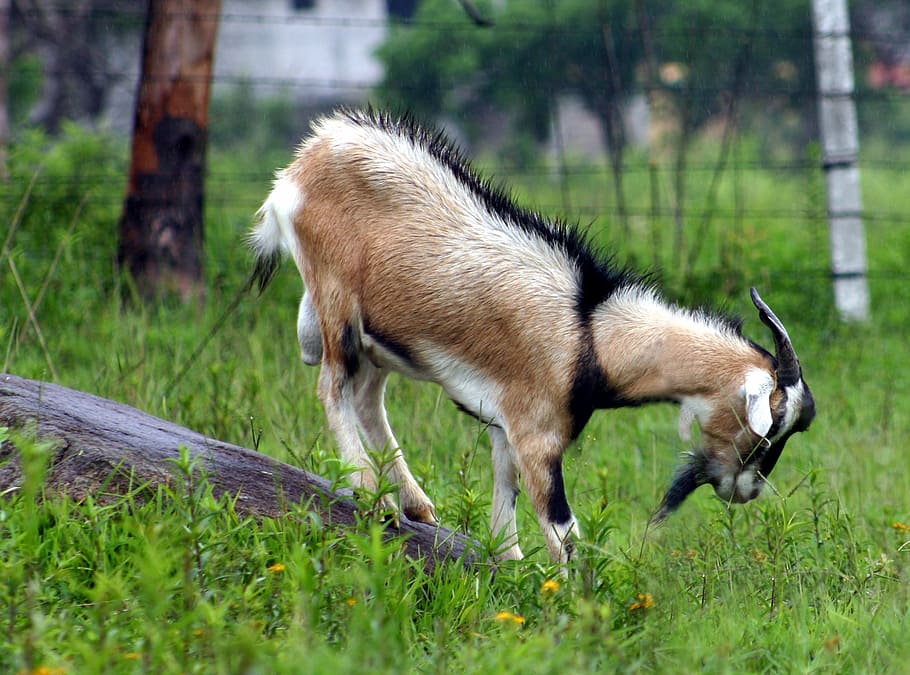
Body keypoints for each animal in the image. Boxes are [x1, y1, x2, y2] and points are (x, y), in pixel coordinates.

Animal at [248, 109, 816, 563]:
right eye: (770, 429)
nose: (746, 491)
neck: (592, 332)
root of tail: (302, 163)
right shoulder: (537, 436)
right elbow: (565, 532)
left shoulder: (505, 428)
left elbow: (505, 515)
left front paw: (511, 577)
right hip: (336, 300)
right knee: (333, 386)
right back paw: (374, 493)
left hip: (379, 338)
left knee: (366, 396)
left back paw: (416, 504)